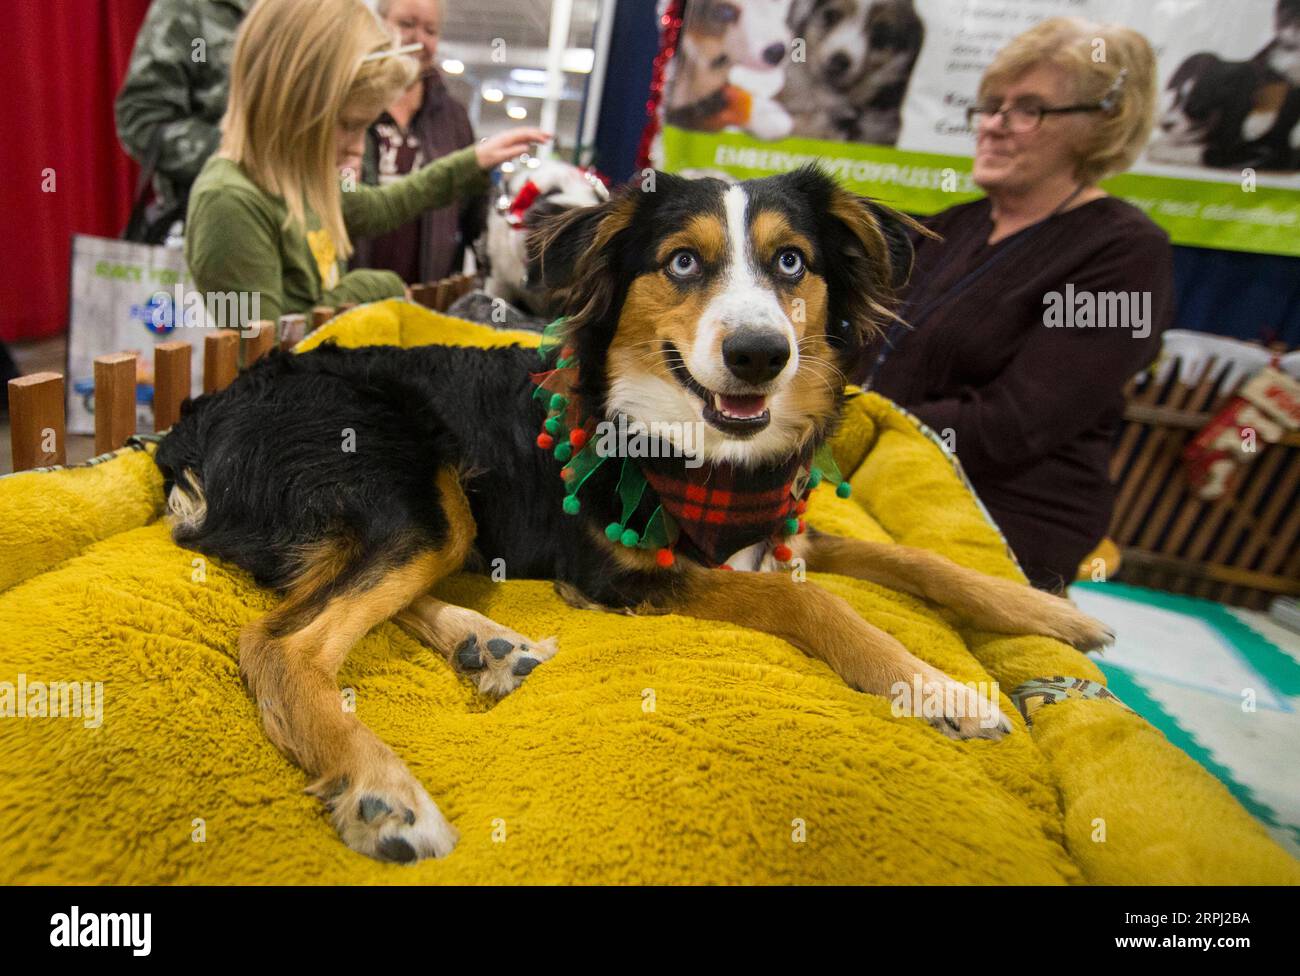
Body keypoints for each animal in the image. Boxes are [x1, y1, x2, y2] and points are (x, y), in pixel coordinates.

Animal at [149, 167, 1107, 862]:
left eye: (792, 262)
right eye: (681, 261)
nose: (759, 354)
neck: (702, 450)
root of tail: (194, 418)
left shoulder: (781, 528)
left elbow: (920, 559)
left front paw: (1048, 612)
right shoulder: (623, 571)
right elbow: (807, 599)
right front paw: (936, 686)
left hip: (432, 513)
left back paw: (486, 643)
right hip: (404, 482)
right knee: (281, 642)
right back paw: (383, 790)